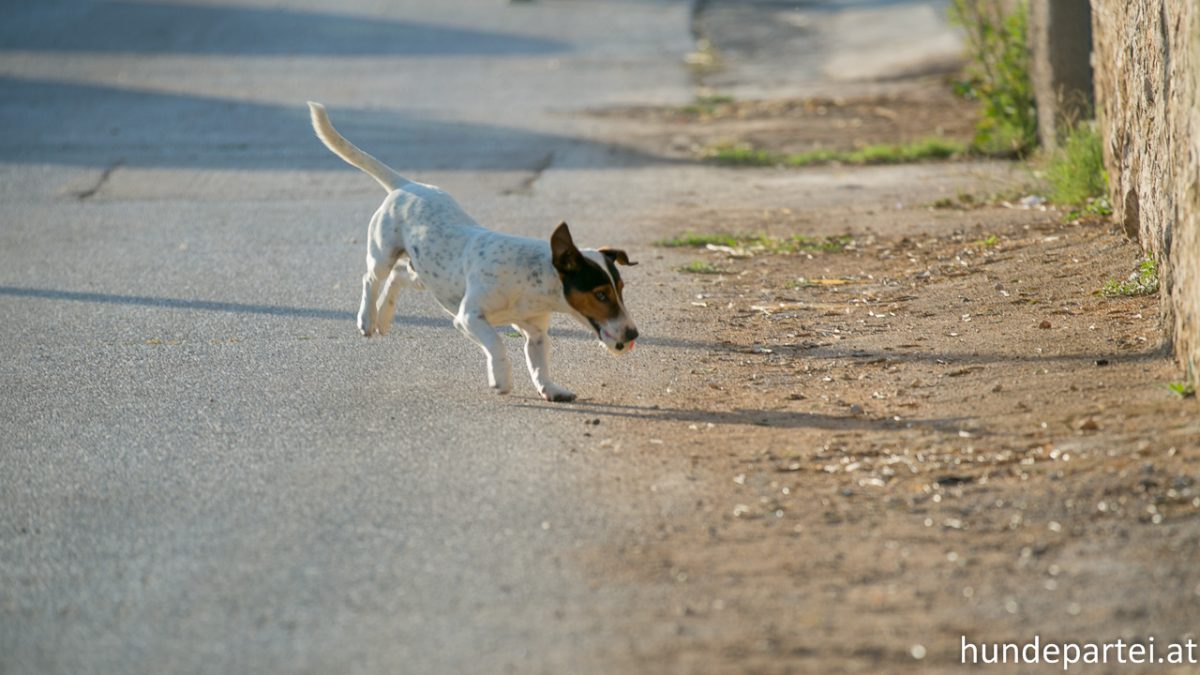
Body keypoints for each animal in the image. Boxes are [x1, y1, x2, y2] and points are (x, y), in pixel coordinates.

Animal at [307, 100, 638, 398]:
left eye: (621, 289)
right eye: (600, 294)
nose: (634, 334)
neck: (531, 281)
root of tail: (407, 185)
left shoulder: (536, 334)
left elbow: (539, 365)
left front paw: (551, 389)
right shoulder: (469, 317)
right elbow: (497, 344)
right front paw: (501, 378)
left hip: (428, 275)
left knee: (398, 277)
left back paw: (385, 318)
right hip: (382, 252)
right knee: (372, 278)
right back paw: (366, 319)